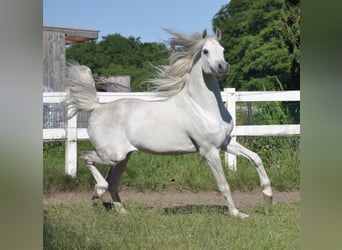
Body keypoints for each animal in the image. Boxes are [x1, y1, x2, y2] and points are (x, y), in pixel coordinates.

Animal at [63, 28, 272, 217]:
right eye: (205, 51)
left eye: (223, 49)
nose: (223, 67)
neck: (203, 107)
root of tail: (97, 107)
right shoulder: (209, 151)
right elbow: (223, 184)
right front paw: (237, 214)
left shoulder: (225, 143)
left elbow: (256, 158)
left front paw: (268, 195)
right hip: (112, 155)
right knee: (86, 157)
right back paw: (97, 192)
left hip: (123, 157)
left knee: (113, 183)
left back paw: (123, 212)